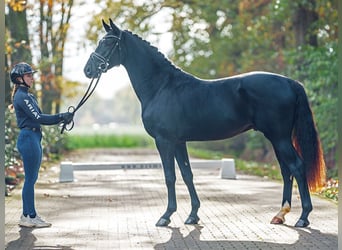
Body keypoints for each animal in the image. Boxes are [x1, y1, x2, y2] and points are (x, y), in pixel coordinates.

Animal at [84, 18, 324, 228]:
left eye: (107, 42)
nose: (87, 70)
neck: (162, 87)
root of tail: (290, 82)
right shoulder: (178, 142)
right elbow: (187, 175)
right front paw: (192, 215)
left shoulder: (164, 141)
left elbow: (170, 176)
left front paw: (166, 216)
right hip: (277, 138)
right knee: (286, 170)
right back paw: (280, 214)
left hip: (279, 137)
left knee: (297, 166)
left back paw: (303, 217)